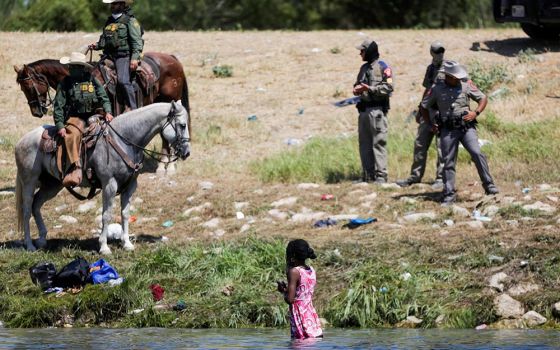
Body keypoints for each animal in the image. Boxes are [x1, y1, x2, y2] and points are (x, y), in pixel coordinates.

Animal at [14, 101, 190, 254]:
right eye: (182, 125)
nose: (187, 152)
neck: (125, 139)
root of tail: (21, 141)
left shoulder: (130, 186)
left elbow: (125, 214)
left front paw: (127, 243)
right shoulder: (109, 184)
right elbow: (106, 215)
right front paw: (104, 247)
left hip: (52, 185)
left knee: (36, 205)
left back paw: (42, 239)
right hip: (29, 181)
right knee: (26, 210)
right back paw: (29, 245)